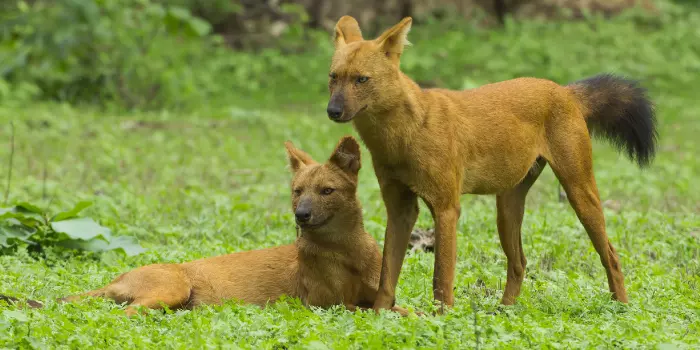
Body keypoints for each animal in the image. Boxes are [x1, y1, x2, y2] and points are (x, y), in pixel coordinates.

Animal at [1, 137, 410, 318]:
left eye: (326, 191)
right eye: (297, 192)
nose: (302, 215)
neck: (345, 251)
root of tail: (119, 276)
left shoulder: (375, 294)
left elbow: (399, 308)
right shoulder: (323, 304)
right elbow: (374, 311)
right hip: (172, 288)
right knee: (124, 313)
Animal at [328, 16, 656, 312]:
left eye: (361, 79)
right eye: (333, 77)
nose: (332, 110)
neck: (400, 137)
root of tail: (564, 90)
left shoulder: (446, 207)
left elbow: (441, 278)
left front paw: (441, 319)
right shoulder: (399, 209)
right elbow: (386, 276)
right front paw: (380, 316)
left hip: (579, 190)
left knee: (611, 255)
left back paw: (621, 308)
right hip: (507, 206)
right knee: (520, 262)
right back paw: (504, 310)